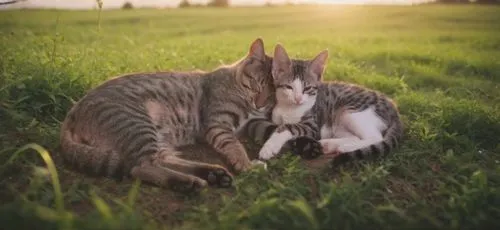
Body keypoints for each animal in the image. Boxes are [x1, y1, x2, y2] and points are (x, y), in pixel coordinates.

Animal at [61, 38, 278, 192]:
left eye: (271, 94)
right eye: (255, 84)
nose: (259, 104)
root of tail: (72, 112)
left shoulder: (253, 123)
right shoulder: (217, 124)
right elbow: (234, 145)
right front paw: (246, 165)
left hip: (156, 138)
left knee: (162, 160)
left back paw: (211, 173)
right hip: (138, 127)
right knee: (140, 167)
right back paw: (188, 182)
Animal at [248, 44, 404, 167]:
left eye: (307, 88)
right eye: (289, 87)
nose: (298, 99)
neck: (289, 109)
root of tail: (394, 107)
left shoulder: (312, 125)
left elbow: (287, 127)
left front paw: (269, 147)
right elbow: (278, 125)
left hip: (349, 110)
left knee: (376, 137)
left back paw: (346, 147)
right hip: (338, 124)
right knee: (356, 137)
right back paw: (331, 144)